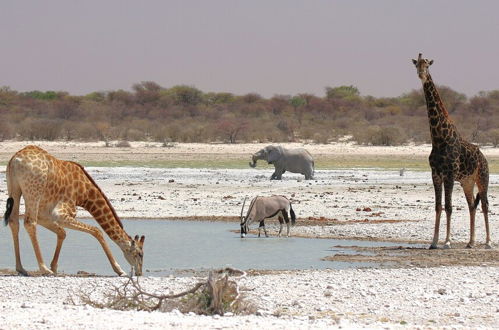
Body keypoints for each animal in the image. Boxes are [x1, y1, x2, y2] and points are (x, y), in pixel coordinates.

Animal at [3, 146, 146, 278]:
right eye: (140, 254)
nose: (139, 273)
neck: (85, 193)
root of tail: (14, 159)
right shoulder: (60, 213)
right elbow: (97, 231)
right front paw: (119, 270)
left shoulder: (45, 215)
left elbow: (63, 233)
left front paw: (54, 267)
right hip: (33, 192)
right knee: (29, 223)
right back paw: (44, 269)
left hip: (14, 189)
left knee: (14, 222)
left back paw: (21, 268)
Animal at [414, 52, 492, 249]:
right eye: (416, 65)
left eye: (428, 65)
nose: (421, 74)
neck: (439, 138)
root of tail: (484, 157)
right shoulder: (436, 174)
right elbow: (438, 206)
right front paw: (434, 242)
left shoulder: (448, 174)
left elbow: (448, 207)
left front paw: (447, 242)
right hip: (467, 182)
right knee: (472, 205)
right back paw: (470, 242)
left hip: (482, 177)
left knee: (485, 204)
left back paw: (488, 242)